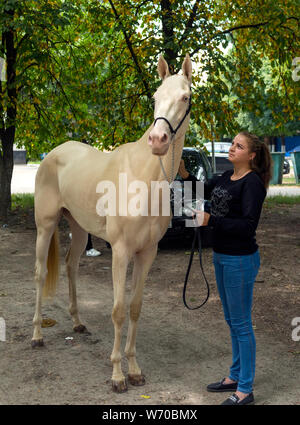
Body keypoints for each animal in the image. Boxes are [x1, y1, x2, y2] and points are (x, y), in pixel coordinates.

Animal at [32, 54, 192, 392]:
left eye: (185, 97)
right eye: (155, 97)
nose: (158, 140)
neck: (144, 178)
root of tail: (54, 152)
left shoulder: (147, 254)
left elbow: (135, 308)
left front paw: (135, 370)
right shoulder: (120, 251)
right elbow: (118, 311)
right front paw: (118, 375)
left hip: (79, 230)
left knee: (71, 266)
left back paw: (77, 322)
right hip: (46, 225)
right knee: (40, 274)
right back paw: (37, 335)